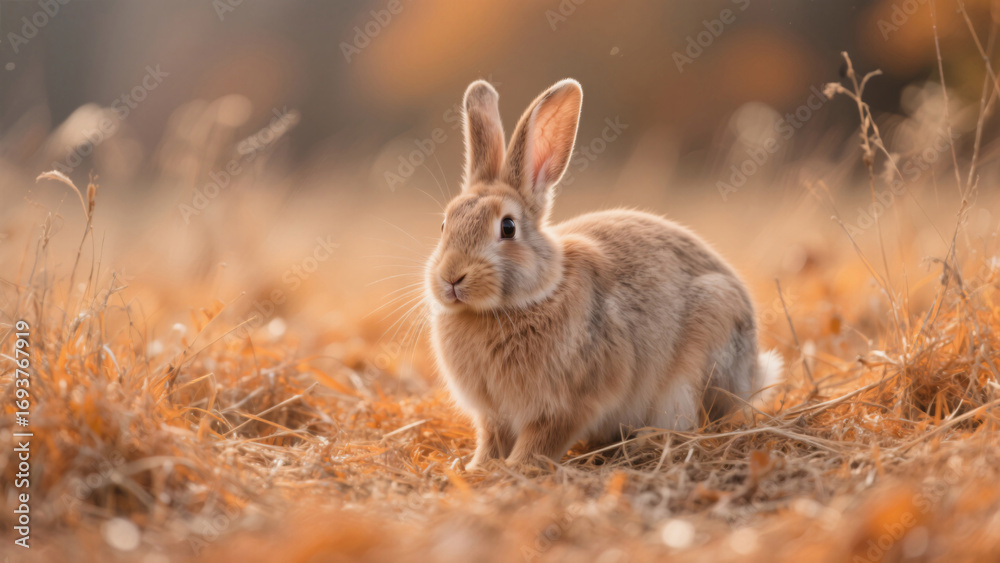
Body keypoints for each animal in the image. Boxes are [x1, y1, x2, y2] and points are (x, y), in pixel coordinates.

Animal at [424, 78, 783, 470]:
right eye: (443, 225)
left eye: (507, 227)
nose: (452, 278)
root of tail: (752, 372)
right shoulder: (494, 416)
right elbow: (491, 440)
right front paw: (476, 468)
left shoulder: (570, 404)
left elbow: (540, 441)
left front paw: (516, 468)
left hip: (699, 359)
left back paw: (647, 442)